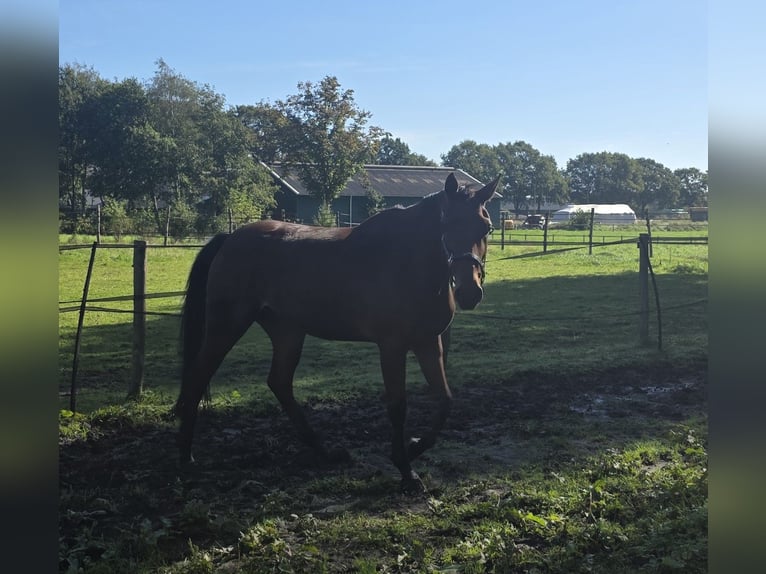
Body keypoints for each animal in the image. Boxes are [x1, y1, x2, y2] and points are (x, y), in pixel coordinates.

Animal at [175, 172, 501, 493]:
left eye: (486, 227)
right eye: (447, 224)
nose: (469, 292)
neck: (410, 262)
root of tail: (230, 238)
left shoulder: (428, 343)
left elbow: (445, 400)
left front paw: (413, 446)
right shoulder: (392, 346)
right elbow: (398, 406)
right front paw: (406, 469)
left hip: (287, 333)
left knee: (279, 383)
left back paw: (325, 451)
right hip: (227, 327)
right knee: (197, 378)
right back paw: (185, 457)